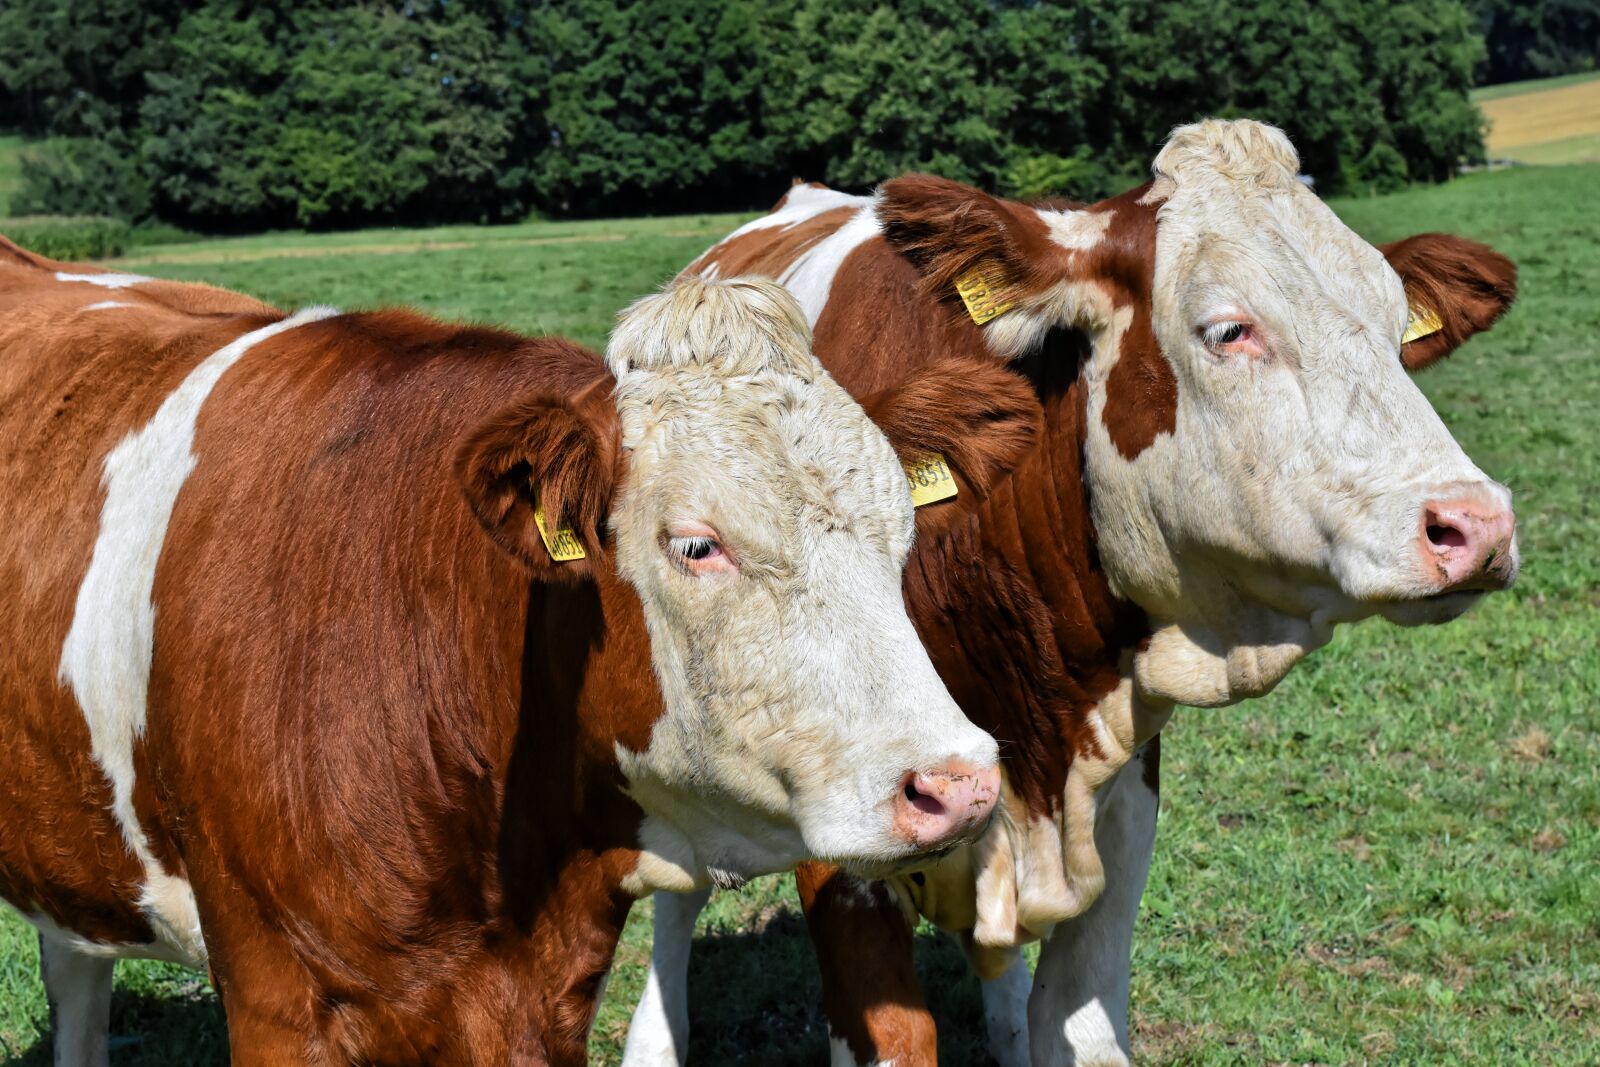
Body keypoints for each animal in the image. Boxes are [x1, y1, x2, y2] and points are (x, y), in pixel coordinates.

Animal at [622, 119, 1520, 1067]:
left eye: (1395, 326)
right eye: (1228, 329)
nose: (1475, 524)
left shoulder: (1122, 800)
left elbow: (1079, 1027)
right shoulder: (843, 826)